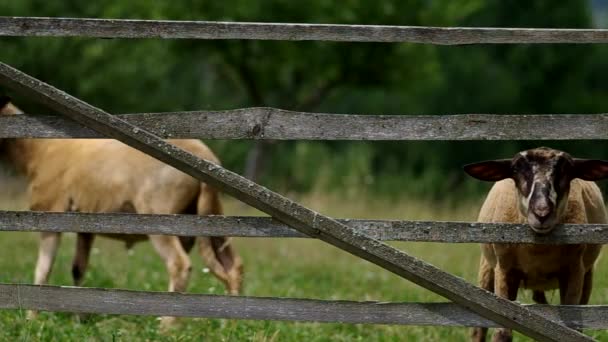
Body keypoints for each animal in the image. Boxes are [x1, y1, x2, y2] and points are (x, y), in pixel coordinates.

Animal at [0, 97, 242, 328]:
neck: (36, 149)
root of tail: (206, 158)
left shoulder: (52, 213)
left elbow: (42, 270)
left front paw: (31, 319)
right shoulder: (84, 225)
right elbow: (78, 270)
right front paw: (81, 319)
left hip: (160, 215)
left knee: (179, 265)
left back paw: (167, 326)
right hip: (213, 216)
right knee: (233, 266)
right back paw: (230, 325)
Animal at [466, 147, 608, 342]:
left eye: (567, 170)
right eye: (516, 169)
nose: (542, 213)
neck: (538, 250)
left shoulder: (574, 271)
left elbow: (570, 329)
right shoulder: (505, 269)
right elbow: (502, 332)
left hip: (587, 274)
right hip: (487, 267)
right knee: (478, 329)